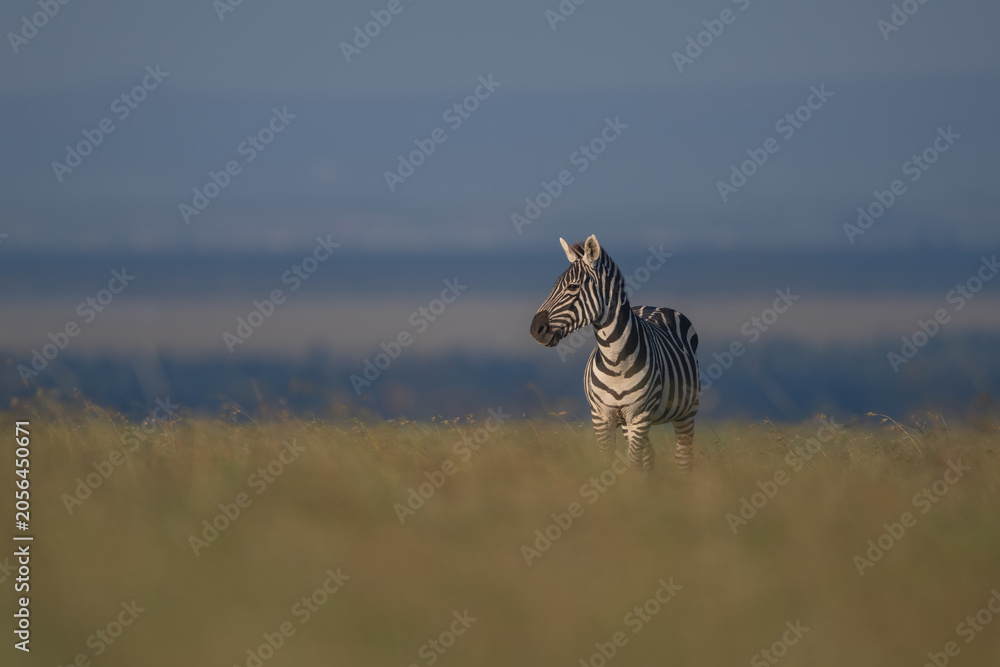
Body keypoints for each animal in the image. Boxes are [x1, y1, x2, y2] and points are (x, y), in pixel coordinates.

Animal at [529, 235, 700, 471]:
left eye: (572, 287)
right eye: (554, 286)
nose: (536, 329)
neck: (616, 361)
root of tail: (653, 305)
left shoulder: (639, 416)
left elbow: (633, 464)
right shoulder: (601, 417)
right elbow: (608, 461)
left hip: (687, 411)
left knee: (683, 457)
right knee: (650, 455)